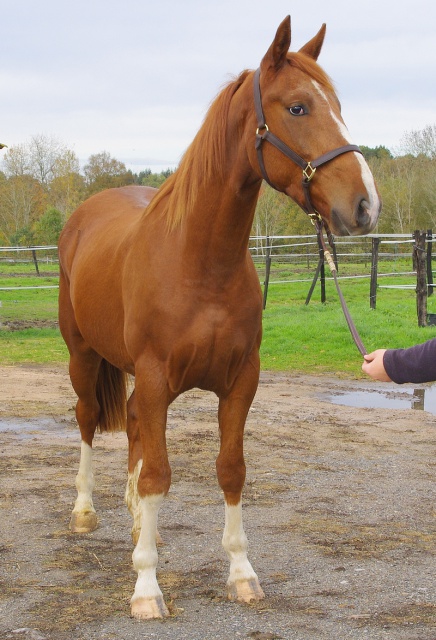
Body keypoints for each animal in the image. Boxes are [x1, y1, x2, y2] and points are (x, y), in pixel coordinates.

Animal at [58, 17, 382, 620]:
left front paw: (241, 573)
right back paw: (86, 513)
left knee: (131, 426)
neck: (199, 261)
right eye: (298, 107)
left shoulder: (239, 382)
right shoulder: (157, 378)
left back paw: (139, 526)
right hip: (83, 356)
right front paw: (146, 587)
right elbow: (159, 473)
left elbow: (230, 469)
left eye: (338, 105)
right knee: (89, 419)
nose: (365, 206)